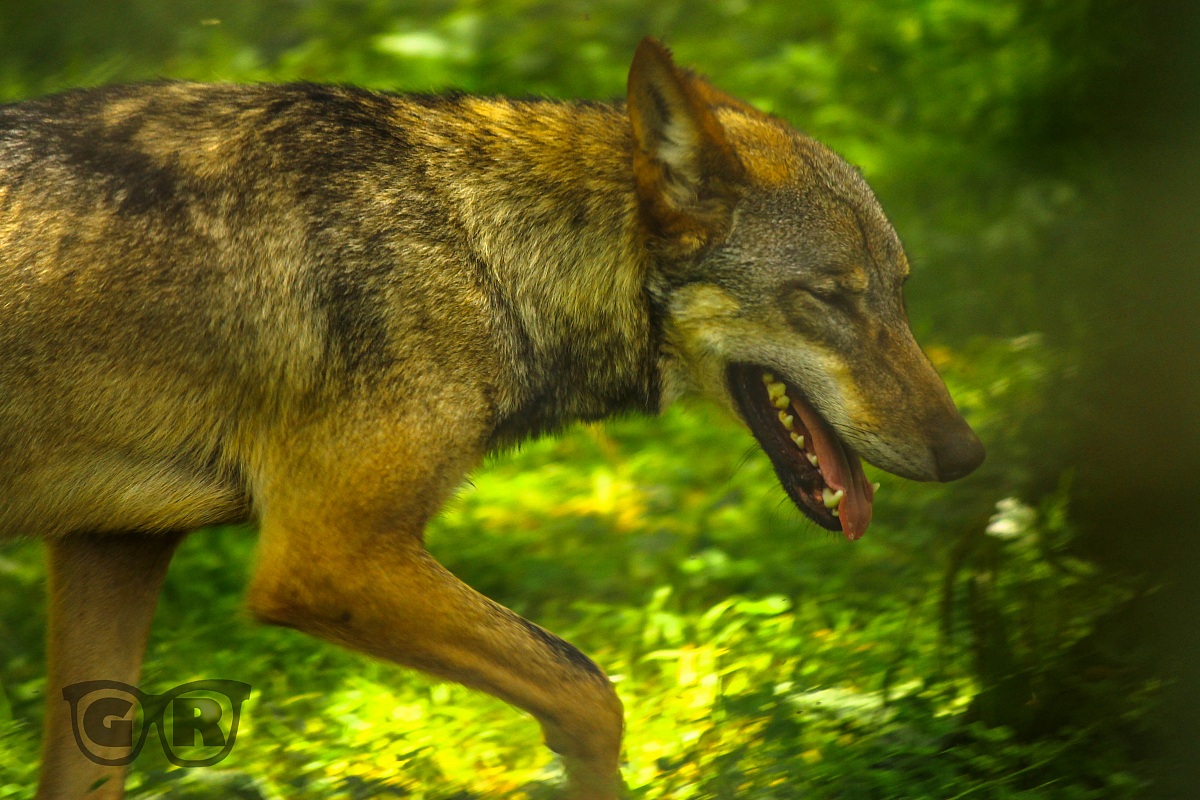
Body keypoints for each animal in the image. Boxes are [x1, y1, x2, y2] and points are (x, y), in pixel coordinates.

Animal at [0, 37, 983, 799]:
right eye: (829, 299)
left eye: (897, 294)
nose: (967, 455)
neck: (479, 248)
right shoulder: (324, 556)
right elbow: (590, 690)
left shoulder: (112, 548)